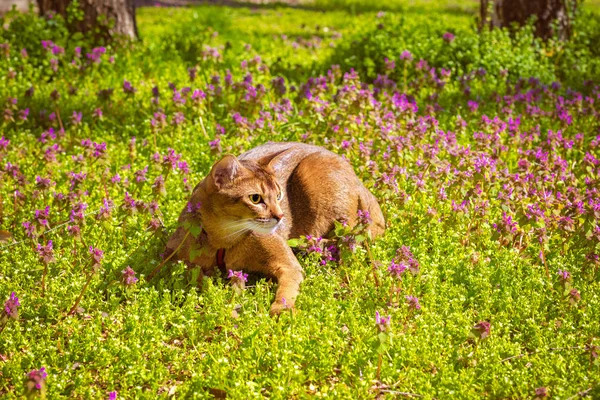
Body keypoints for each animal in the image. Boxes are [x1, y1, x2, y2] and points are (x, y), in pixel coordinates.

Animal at [166, 142, 386, 314]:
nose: (280, 216)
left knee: (345, 238)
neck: (223, 240)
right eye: (255, 198)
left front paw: (281, 309)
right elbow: (197, 277)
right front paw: (224, 296)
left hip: (310, 171)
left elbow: (288, 286)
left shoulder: (289, 265)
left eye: (279, 195)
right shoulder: (173, 256)